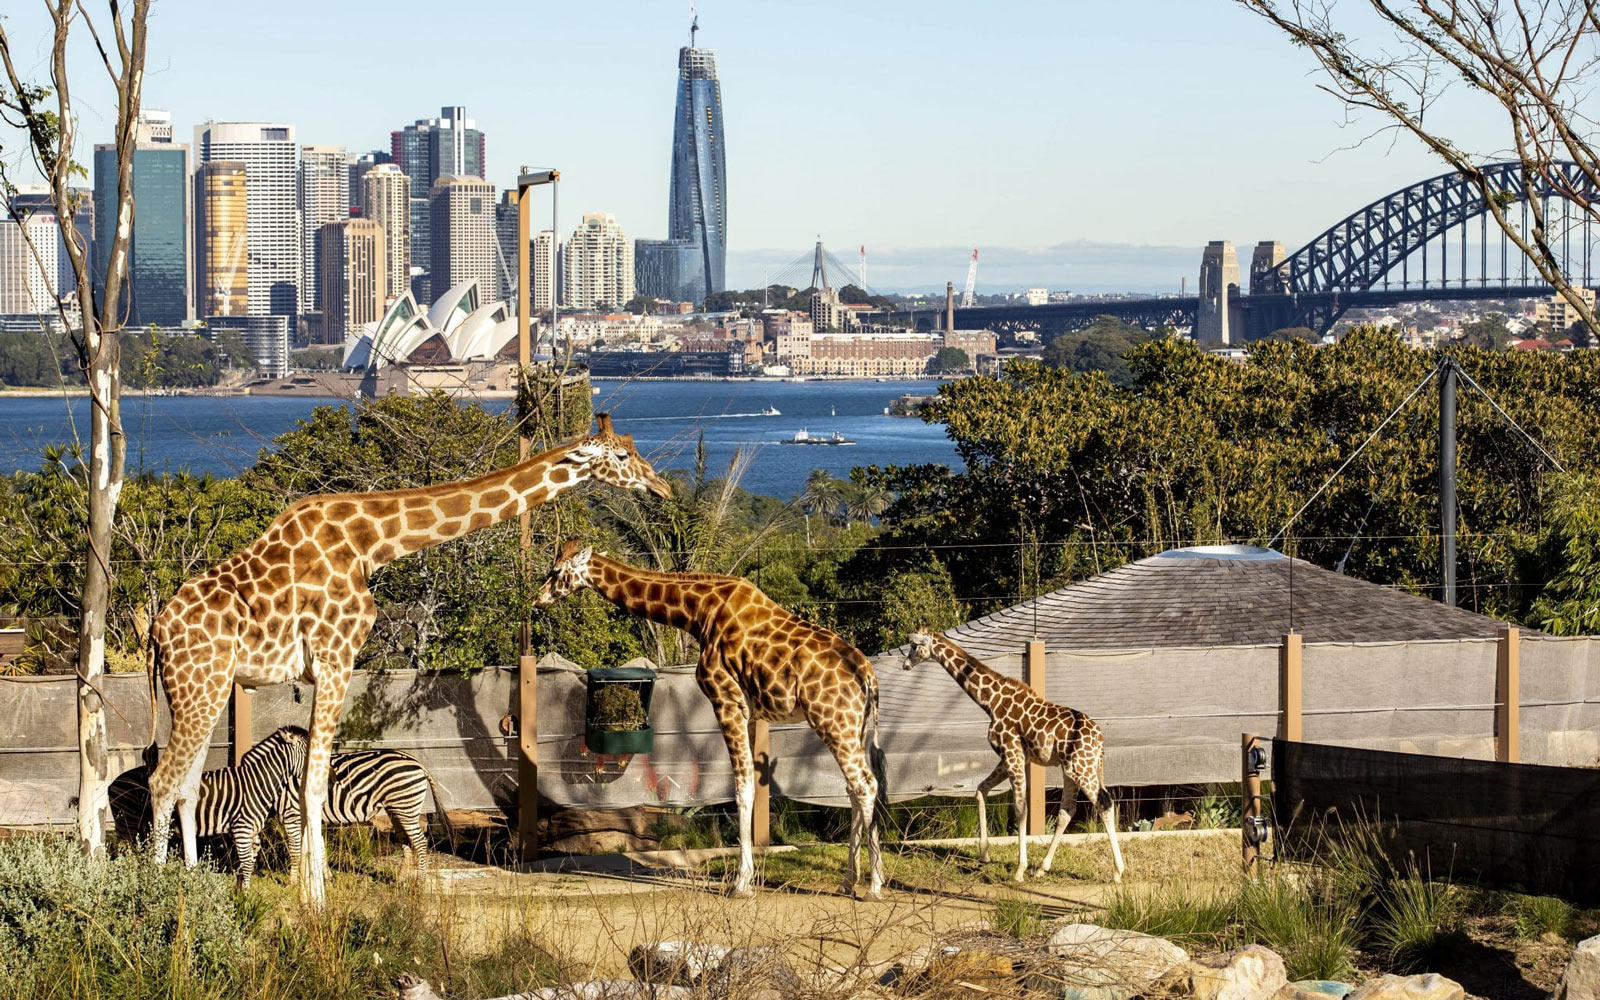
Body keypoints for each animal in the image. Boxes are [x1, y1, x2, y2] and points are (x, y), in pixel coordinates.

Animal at [145, 415, 671, 906]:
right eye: (621, 457)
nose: (661, 487)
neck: (370, 544)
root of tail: (156, 631)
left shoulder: (324, 667)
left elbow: (306, 782)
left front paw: (311, 889)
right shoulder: (336, 657)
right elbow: (312, 785)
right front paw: (316, 901)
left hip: (207, 690)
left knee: (186, 784)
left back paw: (189, 883)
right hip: (199, 687)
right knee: (161, 780)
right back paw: (155, 894)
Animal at [536, 541, 886, 898]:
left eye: (556, 571)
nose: (538, 599)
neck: (699, 612)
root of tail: (868, 677)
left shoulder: (725, 699)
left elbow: (741, 789)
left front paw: (741, 883)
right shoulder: (748, 711)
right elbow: (750, 784)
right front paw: (747, 878)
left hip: (832, 721)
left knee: (866, 784)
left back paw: (874, 885)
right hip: (851, 726)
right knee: (855, 787)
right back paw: (848, 881)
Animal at [901, 629, 1124, 883]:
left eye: (914, 645)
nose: (905, 664)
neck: (989, 701)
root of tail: (1100, 740)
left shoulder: (1011, 752)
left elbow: (1020, 808)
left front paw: (1019, 870)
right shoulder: (1012, 756)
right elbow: (981, 790)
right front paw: (984, 855)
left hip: (1081, 768)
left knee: (1104, 804)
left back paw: (1118, 871)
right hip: (1071, 769)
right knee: (1067, 811)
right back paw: (1042, 867)